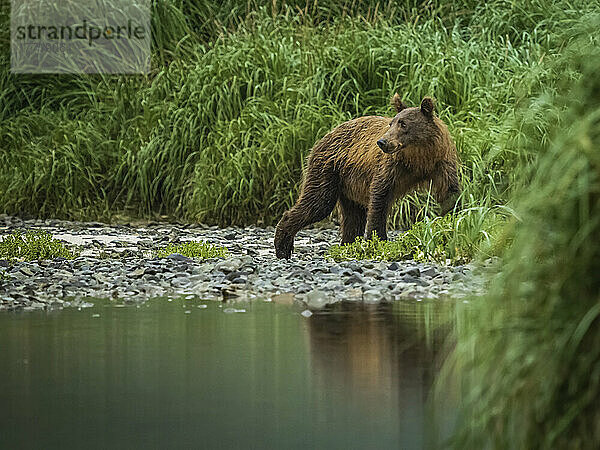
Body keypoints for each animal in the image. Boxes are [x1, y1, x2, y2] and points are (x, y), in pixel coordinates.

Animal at [274, 93, 462, 258]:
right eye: (391, 123)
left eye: (403, 124)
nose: (382, 142)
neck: (418, 158)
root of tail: (325, 136)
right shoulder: (391, 167)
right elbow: (380, 197)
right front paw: (378, 239)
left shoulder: (441, 164)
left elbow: (450, 194)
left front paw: (453, 221)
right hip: (328, 169)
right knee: (319, 202)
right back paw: (283, 247)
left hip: (349, 184)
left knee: (353, 217)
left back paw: (348, 244)